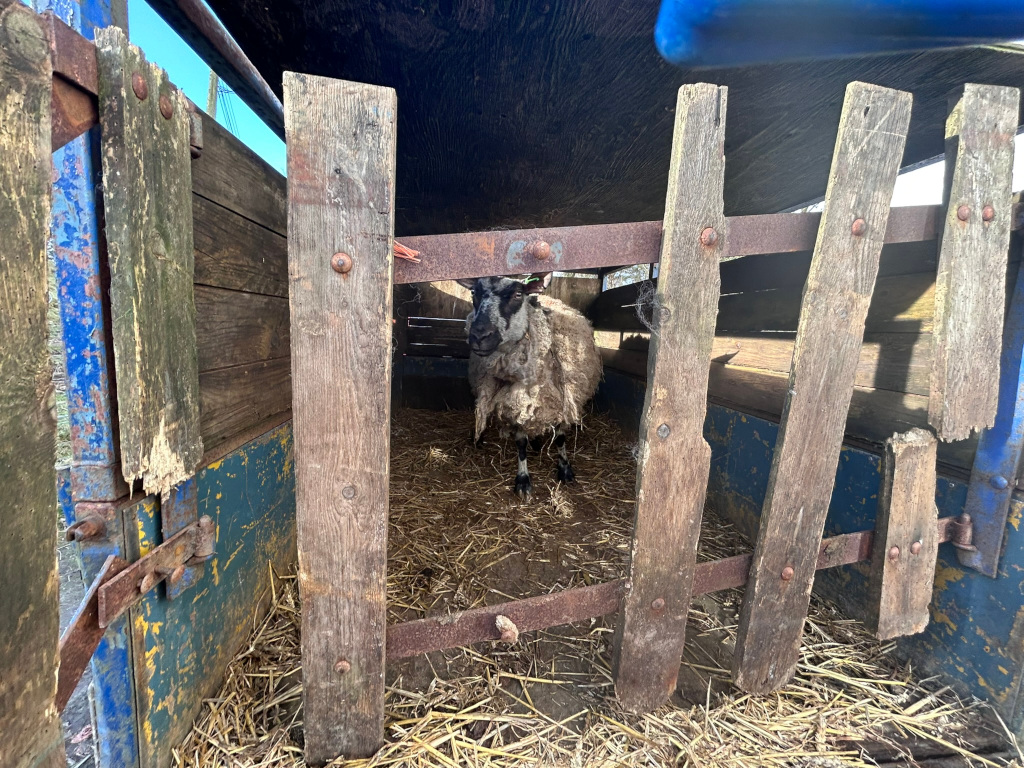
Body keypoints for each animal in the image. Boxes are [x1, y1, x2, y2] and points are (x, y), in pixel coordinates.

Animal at [457, 272, 603, 498]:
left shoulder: (562, 402)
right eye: (473, 292)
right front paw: (523, 480)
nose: (479, 336)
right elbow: (521, 443)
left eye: (518, 294)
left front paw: (565, 469)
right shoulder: (515, 404)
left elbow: (560, 438)